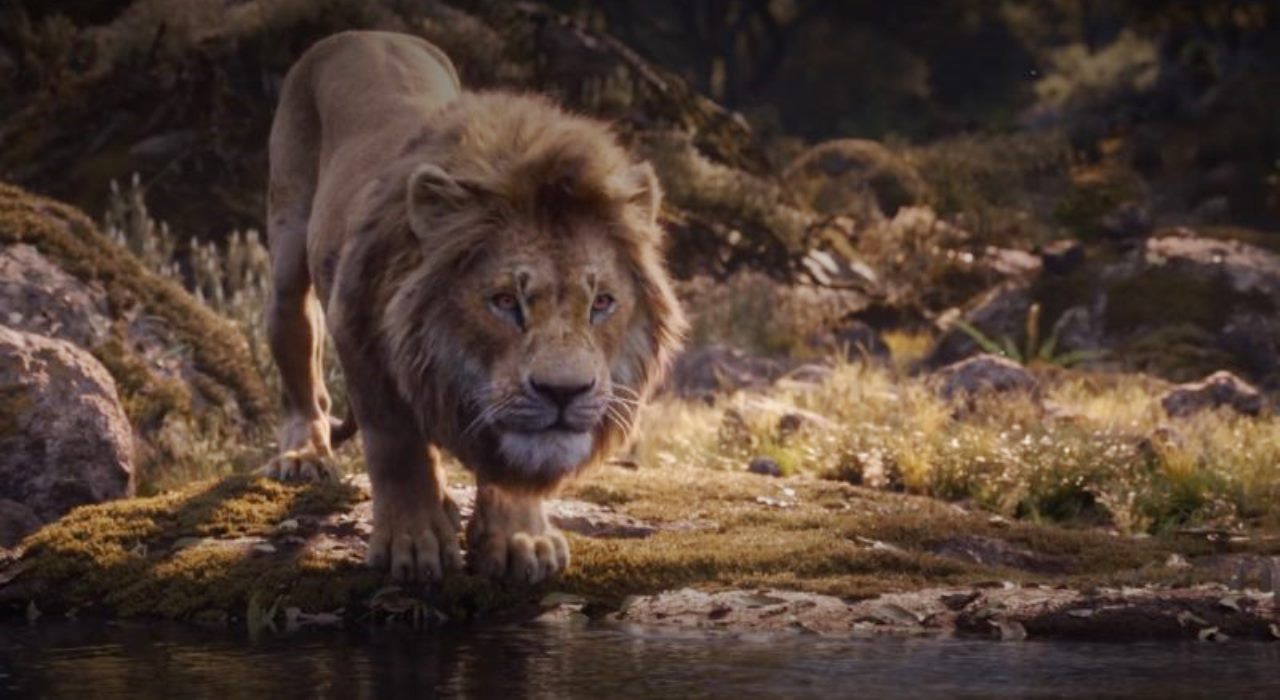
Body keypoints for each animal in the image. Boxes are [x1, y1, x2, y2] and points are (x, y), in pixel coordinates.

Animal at [261, 31, 685, 584]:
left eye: (602, 303)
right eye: (504, 302)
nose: (564, 392)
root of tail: (365, 33)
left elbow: (512, 463)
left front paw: (521, 539)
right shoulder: (354, 326)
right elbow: (396, 444)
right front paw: (412, 543)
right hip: (288, 252)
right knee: (301, 366)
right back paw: (303, 453)